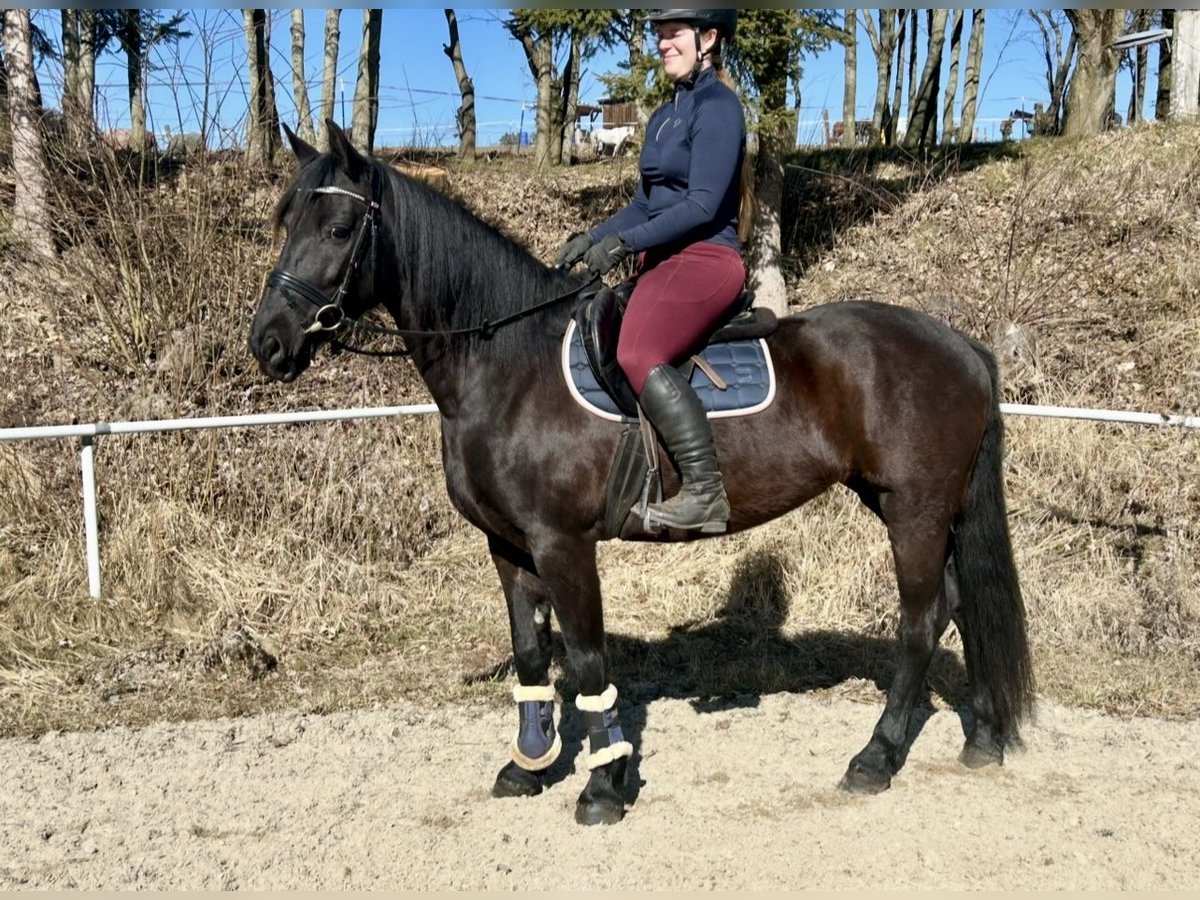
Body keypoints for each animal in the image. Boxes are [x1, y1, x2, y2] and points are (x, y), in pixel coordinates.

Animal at [250, 123, 1032, 830]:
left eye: (340, 227)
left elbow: (588, 660)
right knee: (961, 603)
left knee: (922, 619)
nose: (269, 343)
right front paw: (529, 765)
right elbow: (531, 653)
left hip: (915, 510)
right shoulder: (507, 545)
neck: (508, 366)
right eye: (287, 222)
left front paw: (602, 786)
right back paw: (984, 736)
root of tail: (963, 346)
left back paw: (876, 757)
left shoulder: (563, 544)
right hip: (912, 505)